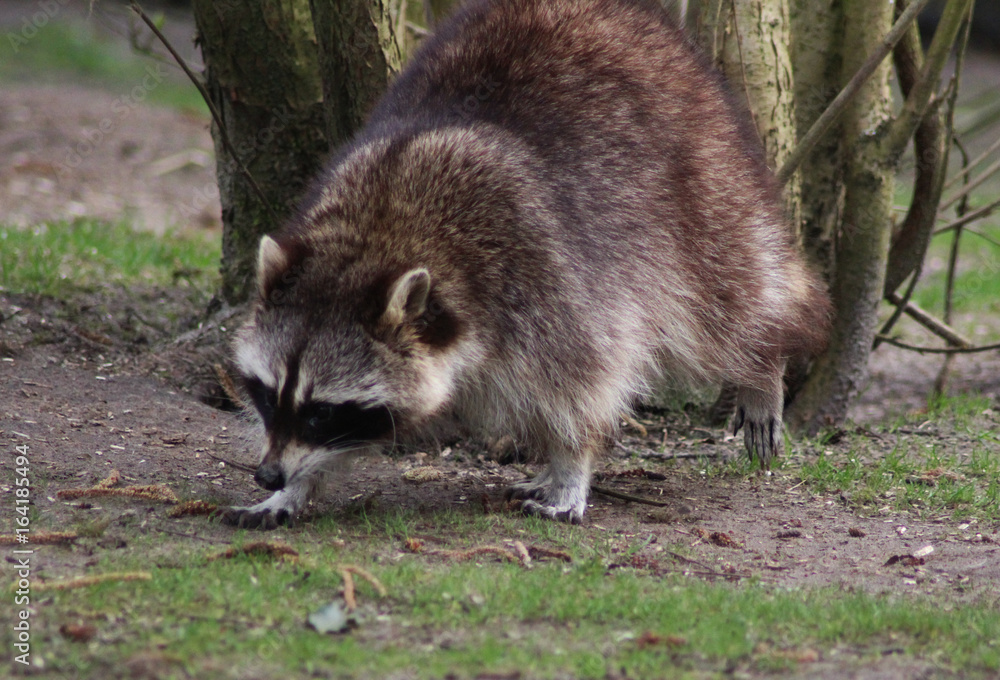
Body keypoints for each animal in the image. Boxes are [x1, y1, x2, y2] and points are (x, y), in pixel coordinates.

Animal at [223, 0, 831, 529]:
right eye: (267, 394)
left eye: (322, 410)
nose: (266, 473)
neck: (381, 230)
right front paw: (295, 487)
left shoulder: (541, 274)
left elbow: (582, 381)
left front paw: (572, 467)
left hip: (698, 179)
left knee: (733, 295)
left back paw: (763, 362)